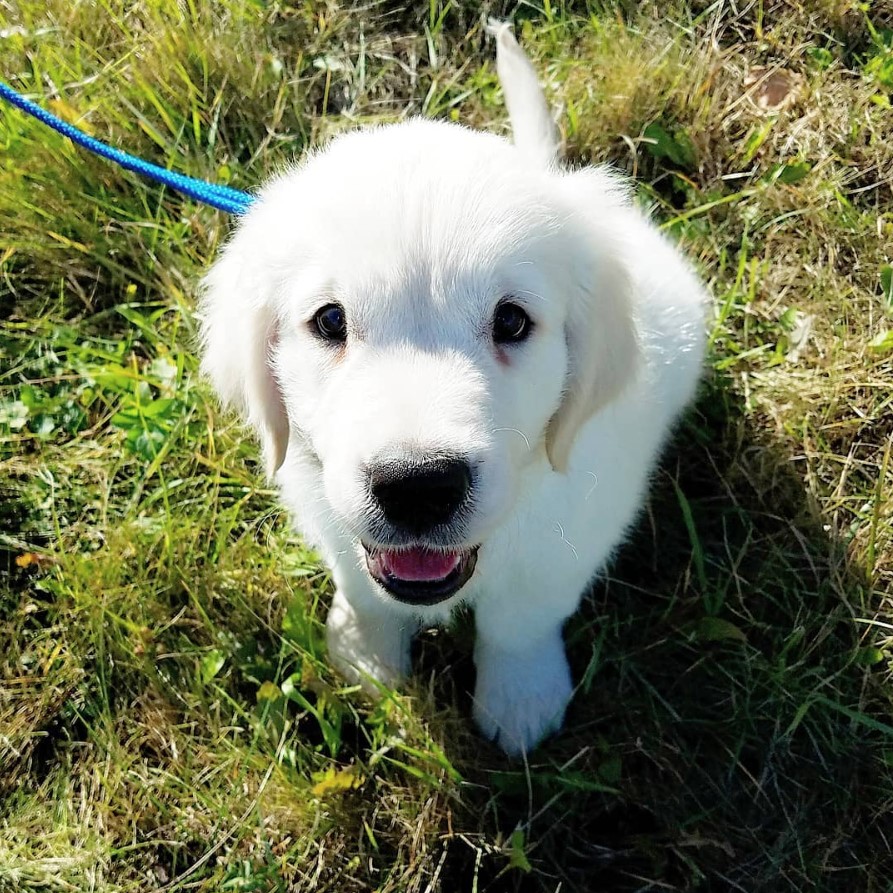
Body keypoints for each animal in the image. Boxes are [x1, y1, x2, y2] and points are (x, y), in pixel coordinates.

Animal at [199, 24, 708, 756]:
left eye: (512, 321)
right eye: (330, 321)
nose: (417, 486)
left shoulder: (574, 529)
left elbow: (521, 617)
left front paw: (521, 696)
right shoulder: (326, 508)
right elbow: (362, 585)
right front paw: (365, 655)